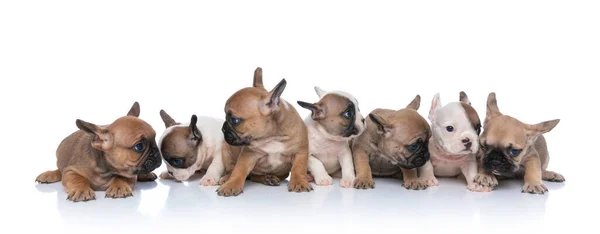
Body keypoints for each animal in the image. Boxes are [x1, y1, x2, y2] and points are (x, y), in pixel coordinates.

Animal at [217, 66, 314, 197]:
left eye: (234, 120)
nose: (223, 128)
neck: (272, 136)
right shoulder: (248, 155)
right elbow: (238, 170)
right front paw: (231, 185)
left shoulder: (300, 152)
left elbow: (298, 168)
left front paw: (299, 182)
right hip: (226, 152)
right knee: (233, 169)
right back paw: (226, 178)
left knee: (254, 177)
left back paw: (269, 178)